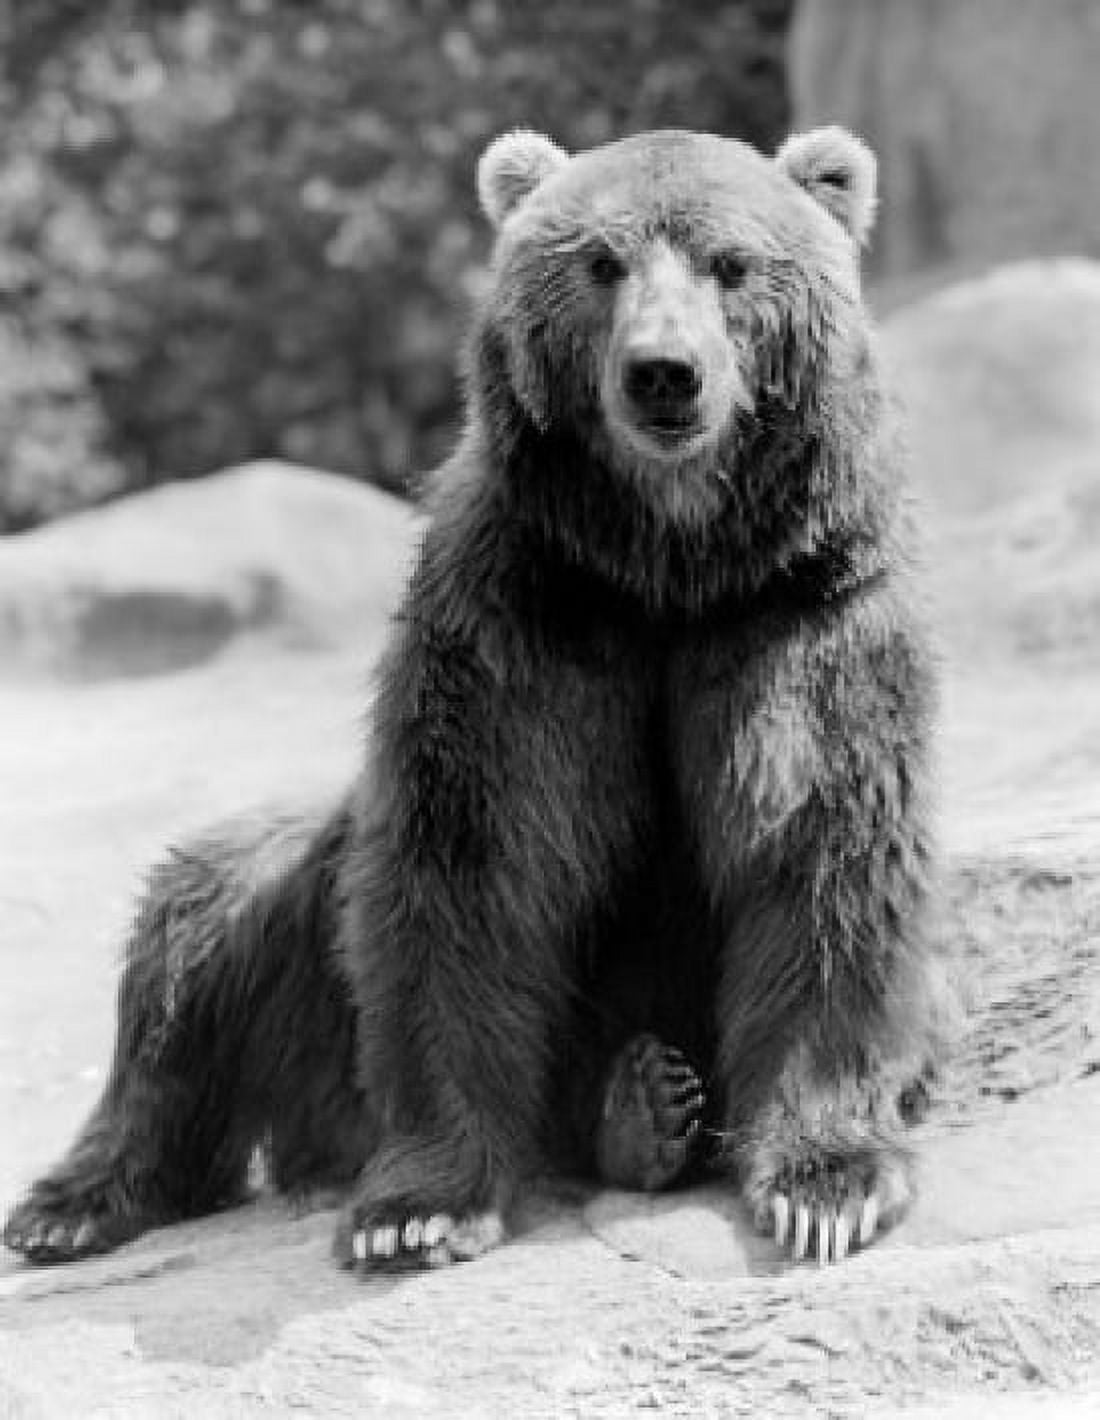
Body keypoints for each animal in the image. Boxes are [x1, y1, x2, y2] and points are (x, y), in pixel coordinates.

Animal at [4, 124, 942, 1272]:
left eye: (730, 263)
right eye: (601, 262)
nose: (663, 375)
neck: (666, 568)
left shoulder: (798, 610)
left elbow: (815, 844)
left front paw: (826, 1187)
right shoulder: (521, 618)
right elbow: (471, 862)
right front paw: (418, 1209)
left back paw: (645, 1106)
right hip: (304, 980)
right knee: (197, 922)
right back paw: (72, 1203)